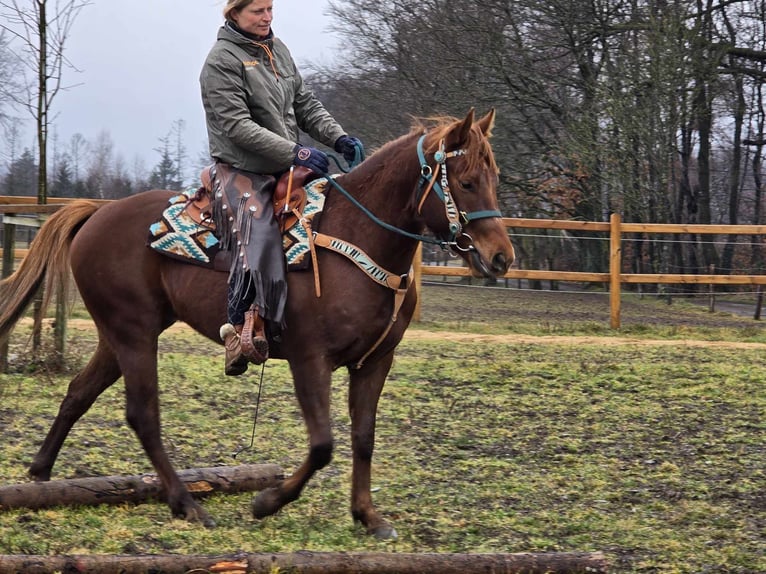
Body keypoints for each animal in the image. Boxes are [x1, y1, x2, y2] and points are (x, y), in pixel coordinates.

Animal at [1, 108, 516, 540]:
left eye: (493, 178)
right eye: (467, 182)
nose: (501, 257)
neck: (354, 236)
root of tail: (98, 212)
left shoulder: (374, 363)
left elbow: (363, 439)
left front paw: (368, 516)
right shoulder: (310, 360)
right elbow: (323, 444)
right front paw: (268, 501)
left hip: (119, 335)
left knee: (79, 393)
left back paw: (40, 476)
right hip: (134, 334)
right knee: (142, 415)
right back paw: (186, 504)